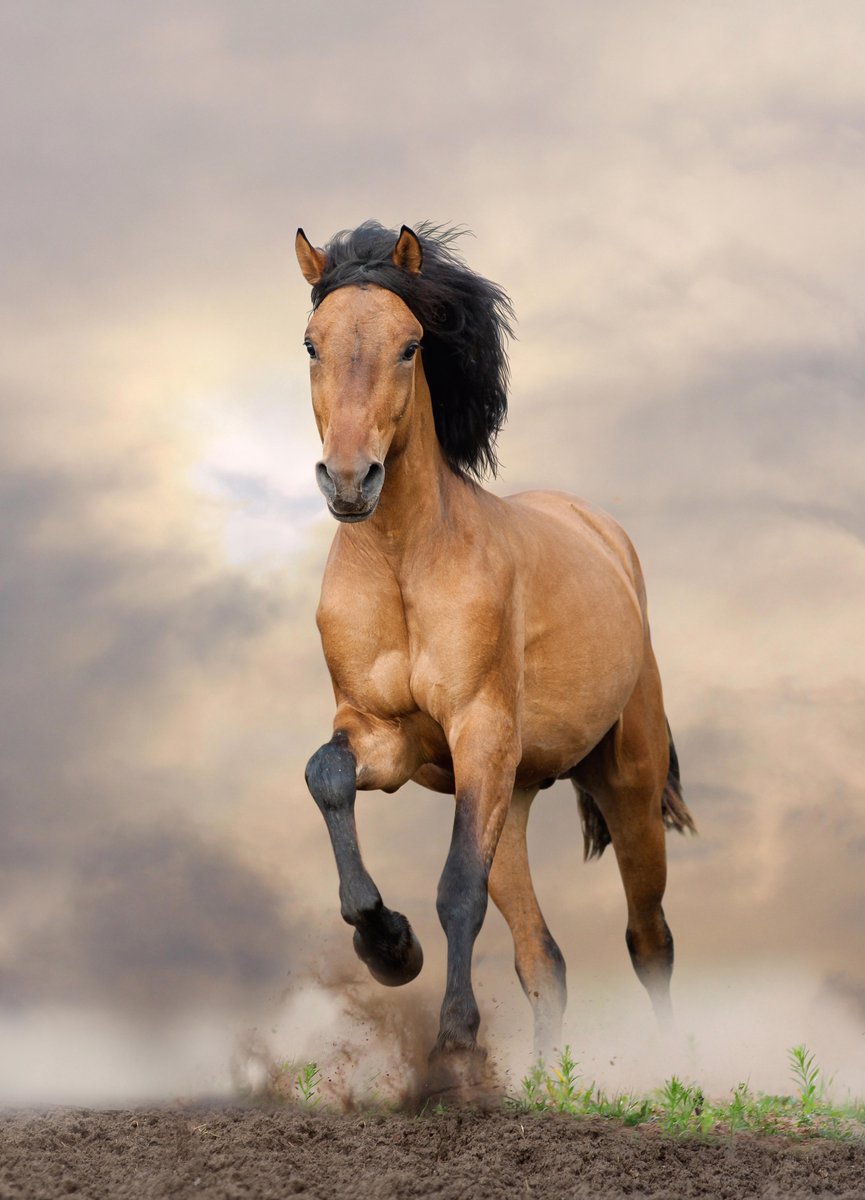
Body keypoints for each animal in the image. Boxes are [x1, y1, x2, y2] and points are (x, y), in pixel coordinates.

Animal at [295, 220, 694, 1072]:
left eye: (411, 344)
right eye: (312, 343)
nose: (348, 481)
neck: (404, 563)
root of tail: (602, 532)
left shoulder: (477, 729)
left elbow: (456, 891)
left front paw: (453, 1043)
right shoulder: (385, 738)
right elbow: (327, 777)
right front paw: (387, 945)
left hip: (626, 785)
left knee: (648, 939)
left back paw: (680, 1067)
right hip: (510, 797)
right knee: (544, 959)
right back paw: (544, 1083)